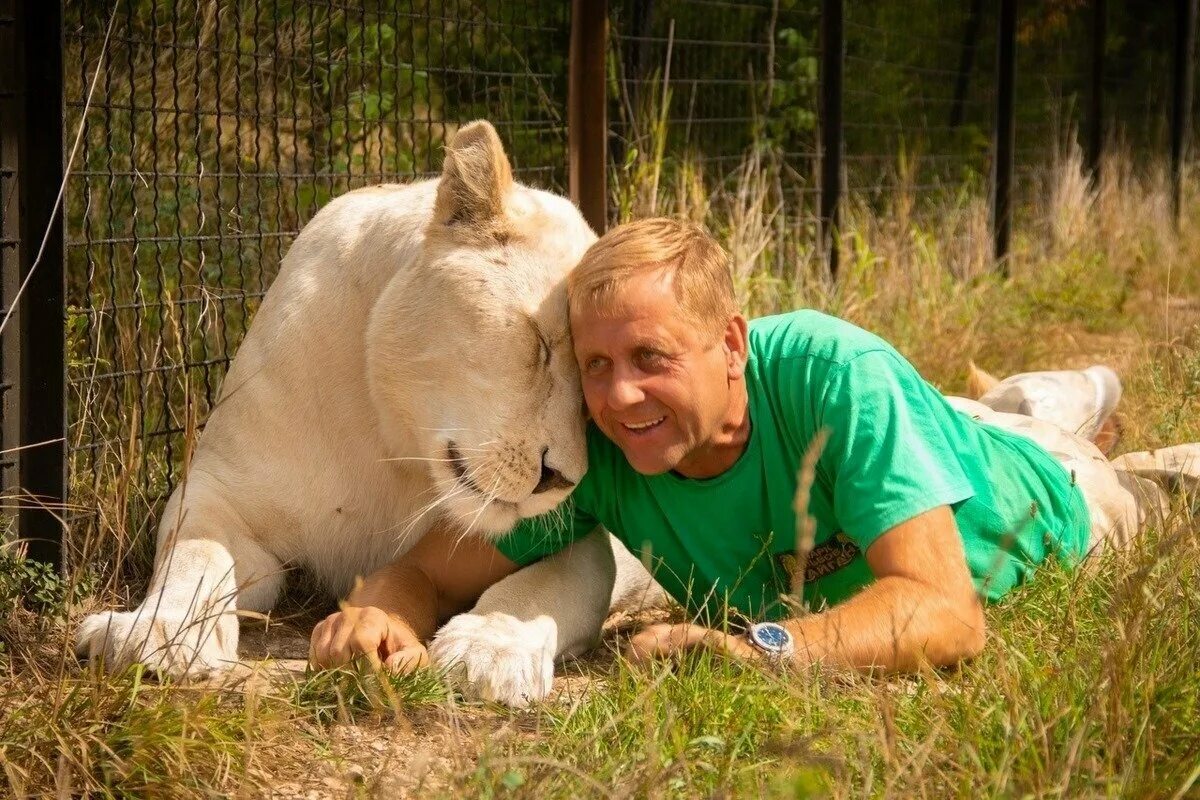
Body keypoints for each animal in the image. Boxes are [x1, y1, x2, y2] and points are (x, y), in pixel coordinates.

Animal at [72, 120, 657, 705]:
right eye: (541, 344)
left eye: (593, 398)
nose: (561, 480)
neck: (397, 449)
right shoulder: (221, 490)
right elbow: (193, 554)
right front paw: (152, 634)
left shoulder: (585, 541)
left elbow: (539, 589)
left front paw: (490, 647)